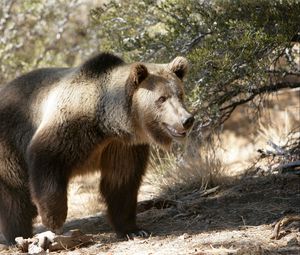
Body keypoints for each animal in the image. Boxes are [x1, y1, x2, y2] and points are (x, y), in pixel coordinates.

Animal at [0, 52, 193, 245]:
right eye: (162, 98)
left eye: (180, 94)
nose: (187, 120)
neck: (107, 124)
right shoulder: (71, 127)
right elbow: (47, 159)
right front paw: (54, 219)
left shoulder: (121, 146)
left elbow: (121, 182)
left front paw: (133, 230)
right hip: (9, 143)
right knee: (15, 192)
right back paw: (18, 234)